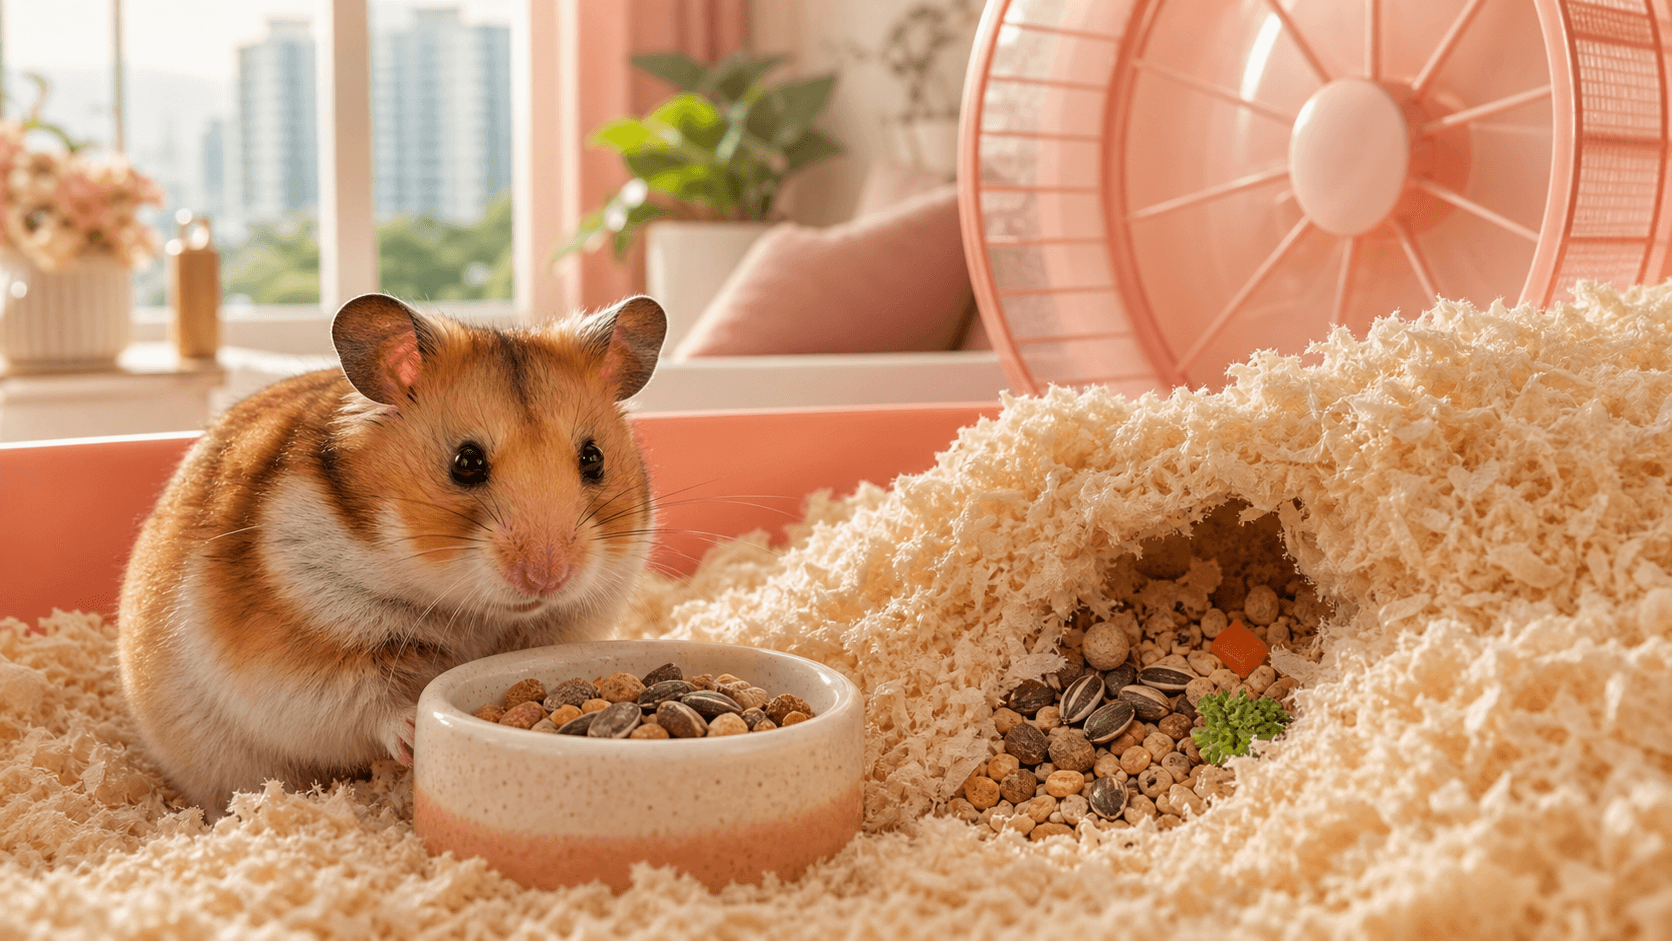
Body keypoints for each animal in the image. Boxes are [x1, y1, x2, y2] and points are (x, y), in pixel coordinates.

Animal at [117, 292, 666, 815]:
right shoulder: (293, 661)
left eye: (593, 458)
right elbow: (367, 703)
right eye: (466, 462)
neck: (471, 611)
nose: (548, 576)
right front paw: (415, 733)